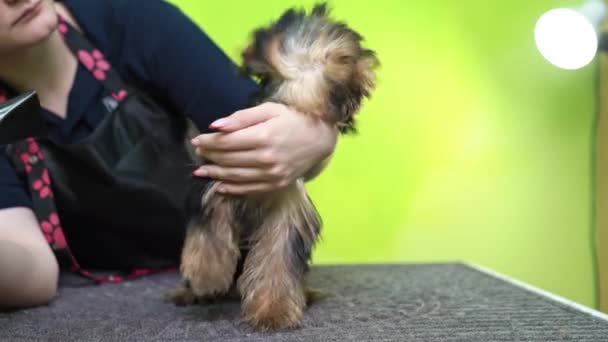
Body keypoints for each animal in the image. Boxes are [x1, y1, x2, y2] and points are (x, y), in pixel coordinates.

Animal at [169, 1, 378, 330]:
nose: (367, 68)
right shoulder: (216, 174)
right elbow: (210, 221)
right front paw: (207, 273)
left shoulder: (287, 206)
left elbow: (278, 257)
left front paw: (273, 310)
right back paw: (191, 293)